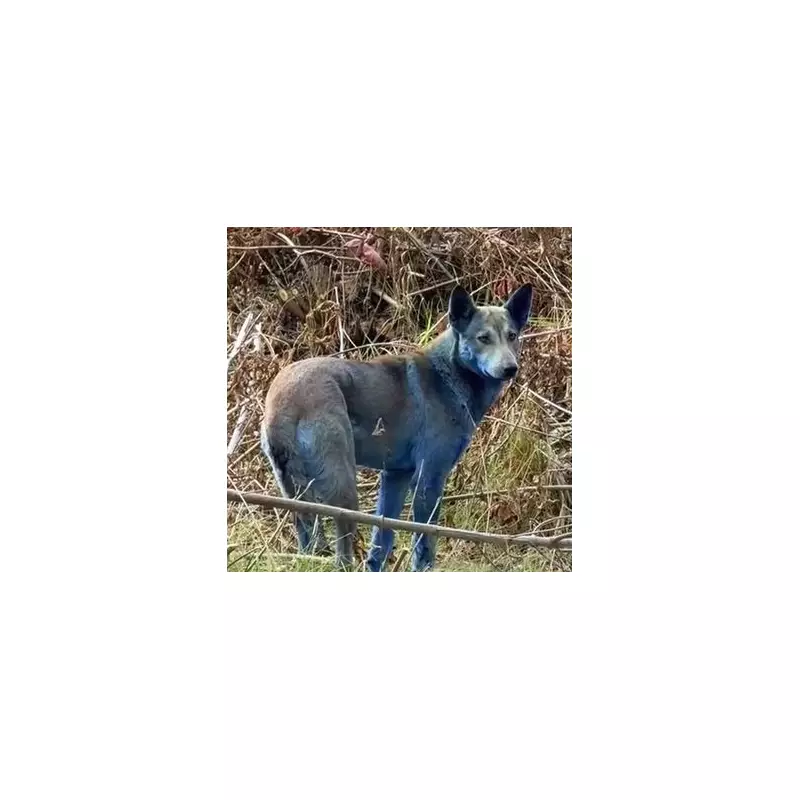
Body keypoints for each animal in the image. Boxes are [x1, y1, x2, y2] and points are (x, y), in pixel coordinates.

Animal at [260, 283, 533, 571]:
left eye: (512, 336)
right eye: (483, 338)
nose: (510, 368)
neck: (448, 374)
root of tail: (280, 401)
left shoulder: (395, 477)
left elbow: (381, 542)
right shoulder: (429, 478)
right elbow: (425, 544)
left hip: (295, 496)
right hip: (344, 489)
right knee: (342, 552)